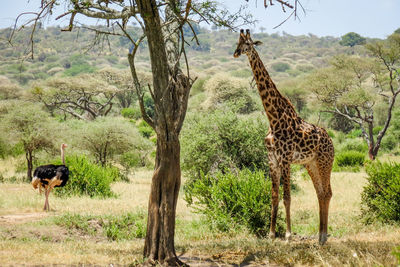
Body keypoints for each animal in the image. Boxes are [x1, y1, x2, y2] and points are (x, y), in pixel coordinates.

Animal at [234, 29, 334, 245]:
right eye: (237, 42)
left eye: (248, 43)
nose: (236, 53)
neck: (273, 118)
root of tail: (331, 141)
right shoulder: (272, 160)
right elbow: (274, 195)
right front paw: (271, 235)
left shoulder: (286, 159)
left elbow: (287, 196)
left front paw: (287, 236)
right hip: (311, 164)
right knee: (321, 193)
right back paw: (320, 237)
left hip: (325, 162)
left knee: (328, 193)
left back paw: (323, 236)